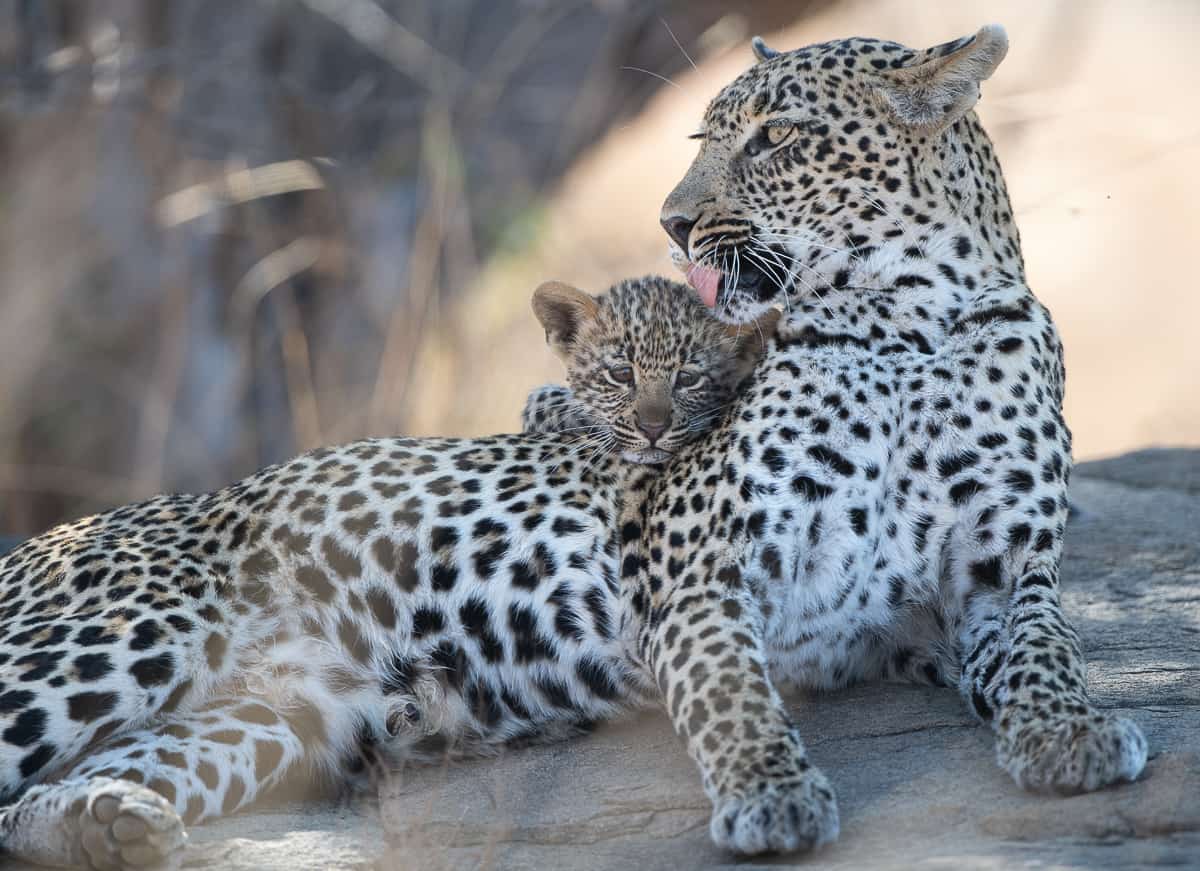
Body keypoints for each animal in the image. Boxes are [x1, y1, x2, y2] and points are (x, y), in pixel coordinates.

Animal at [0, 275, 772, 870]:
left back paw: (111, 824)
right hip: (137, 629)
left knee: (26, 802)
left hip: (266, 721)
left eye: (689, 377)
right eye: (619, 373)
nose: (653, 425)